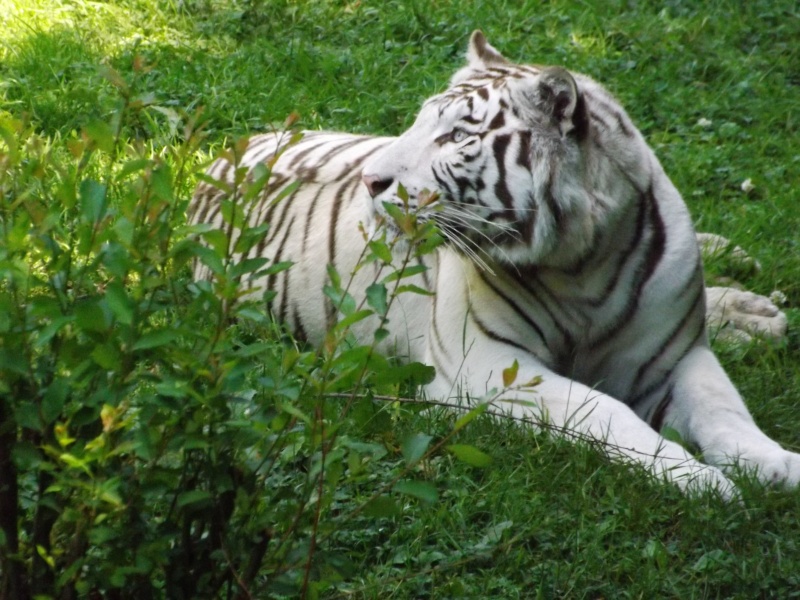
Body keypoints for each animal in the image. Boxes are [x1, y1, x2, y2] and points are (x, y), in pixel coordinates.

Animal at [191, 30, 796, 496]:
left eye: (457, 136)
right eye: (420, 126)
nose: (370, 181)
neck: (584, 265)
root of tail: (215, 162)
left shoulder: (678, 357)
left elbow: (726, 412)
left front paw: (779, 465)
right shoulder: (484, 363)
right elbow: (602, 408)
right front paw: (699, 480)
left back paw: (748, 293)